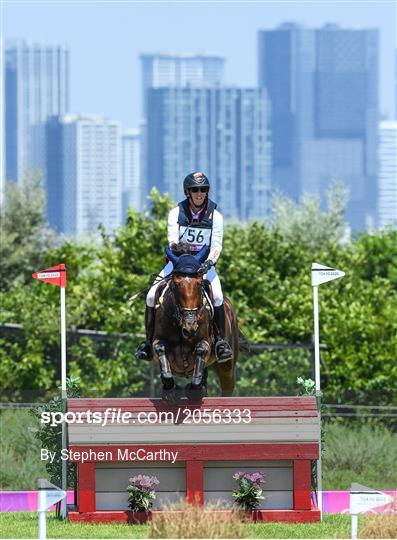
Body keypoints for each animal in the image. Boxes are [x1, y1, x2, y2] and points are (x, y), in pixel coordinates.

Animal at [152, 245, 238, 400]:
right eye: (176, 284)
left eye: (199, 284)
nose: (190, 327)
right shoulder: (157, 341)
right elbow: (160, 349)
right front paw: (171, 390)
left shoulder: (206, 342)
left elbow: (201, 350)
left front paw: (194, 389)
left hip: (227, 366)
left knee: (227, 386)